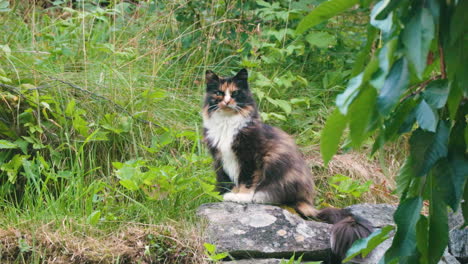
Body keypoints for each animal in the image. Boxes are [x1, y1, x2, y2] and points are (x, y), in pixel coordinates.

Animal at [201, 68, 372, 264]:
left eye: (235, 93)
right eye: (219, 93)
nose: (227, 101)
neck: (226, 124)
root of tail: (307, 199)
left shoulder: (250, 157)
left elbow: (246, 180)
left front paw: (239, 197)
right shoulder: (220, 159)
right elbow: (224, 180)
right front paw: (221, 195)